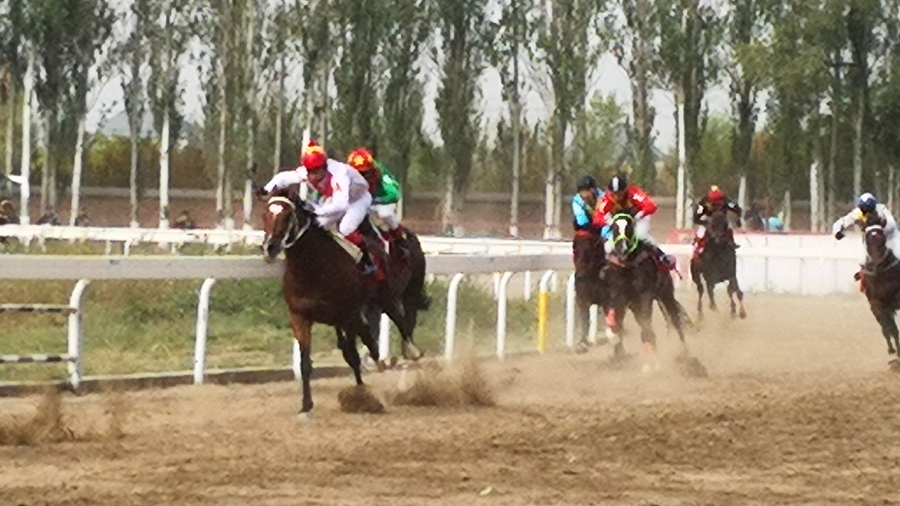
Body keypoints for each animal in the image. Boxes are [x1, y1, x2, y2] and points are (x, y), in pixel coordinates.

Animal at [601, 213, 701, 375]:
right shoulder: (619, 298)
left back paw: (685, 355)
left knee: (676, 322)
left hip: (665, 295)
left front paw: (649, 366)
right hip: (636, 306)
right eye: (614, 228)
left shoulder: (645, 295)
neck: (627, 266)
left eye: (629, 227)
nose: (622, 248)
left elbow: (646, 329)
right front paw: (614, 342)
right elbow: (616, 325)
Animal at [861, 223, 900, 369]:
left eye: (881, 237)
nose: (875, 264)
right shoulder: (876, 305)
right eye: (867, 238)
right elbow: (889, 329)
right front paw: (894, 352)